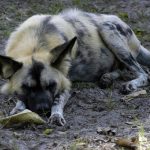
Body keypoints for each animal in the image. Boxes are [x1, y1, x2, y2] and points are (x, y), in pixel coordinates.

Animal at [0, 8, 150, 125]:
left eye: (51, 85)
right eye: (27, 87)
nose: (43, 109)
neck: (36, 45)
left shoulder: (64, 83)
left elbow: (57, 100)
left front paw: (56, 115)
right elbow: (20, 98)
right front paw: (18, 109)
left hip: (107, 31)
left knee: (144, 74)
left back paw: (130, 84)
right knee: (123, 69)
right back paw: (107, 78)